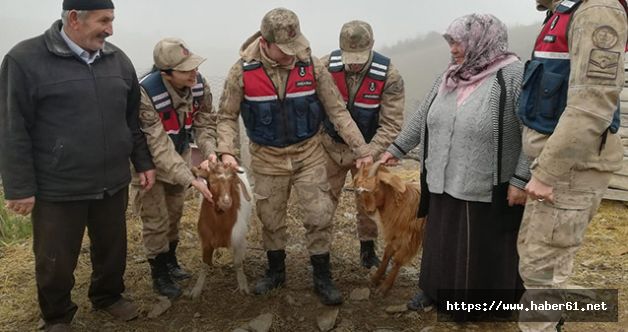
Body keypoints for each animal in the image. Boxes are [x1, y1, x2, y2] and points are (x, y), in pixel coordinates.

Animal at [189, 161, 253, 298]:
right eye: (212, 181)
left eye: (232, 181)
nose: (226, 202)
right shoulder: (206, 241)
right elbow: (204, 265)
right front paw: (196, 289)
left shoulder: (238, 239)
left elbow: (238, 263)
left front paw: (243, 285)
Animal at [350, 161, 424, 296]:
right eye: (359, 191)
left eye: (376, 188)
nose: (369, 211)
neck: (401, 202)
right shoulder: (396, 233)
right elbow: (387, 253)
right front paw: (375, 278)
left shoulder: (409, 238)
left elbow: (398, 259)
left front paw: (384, 287)